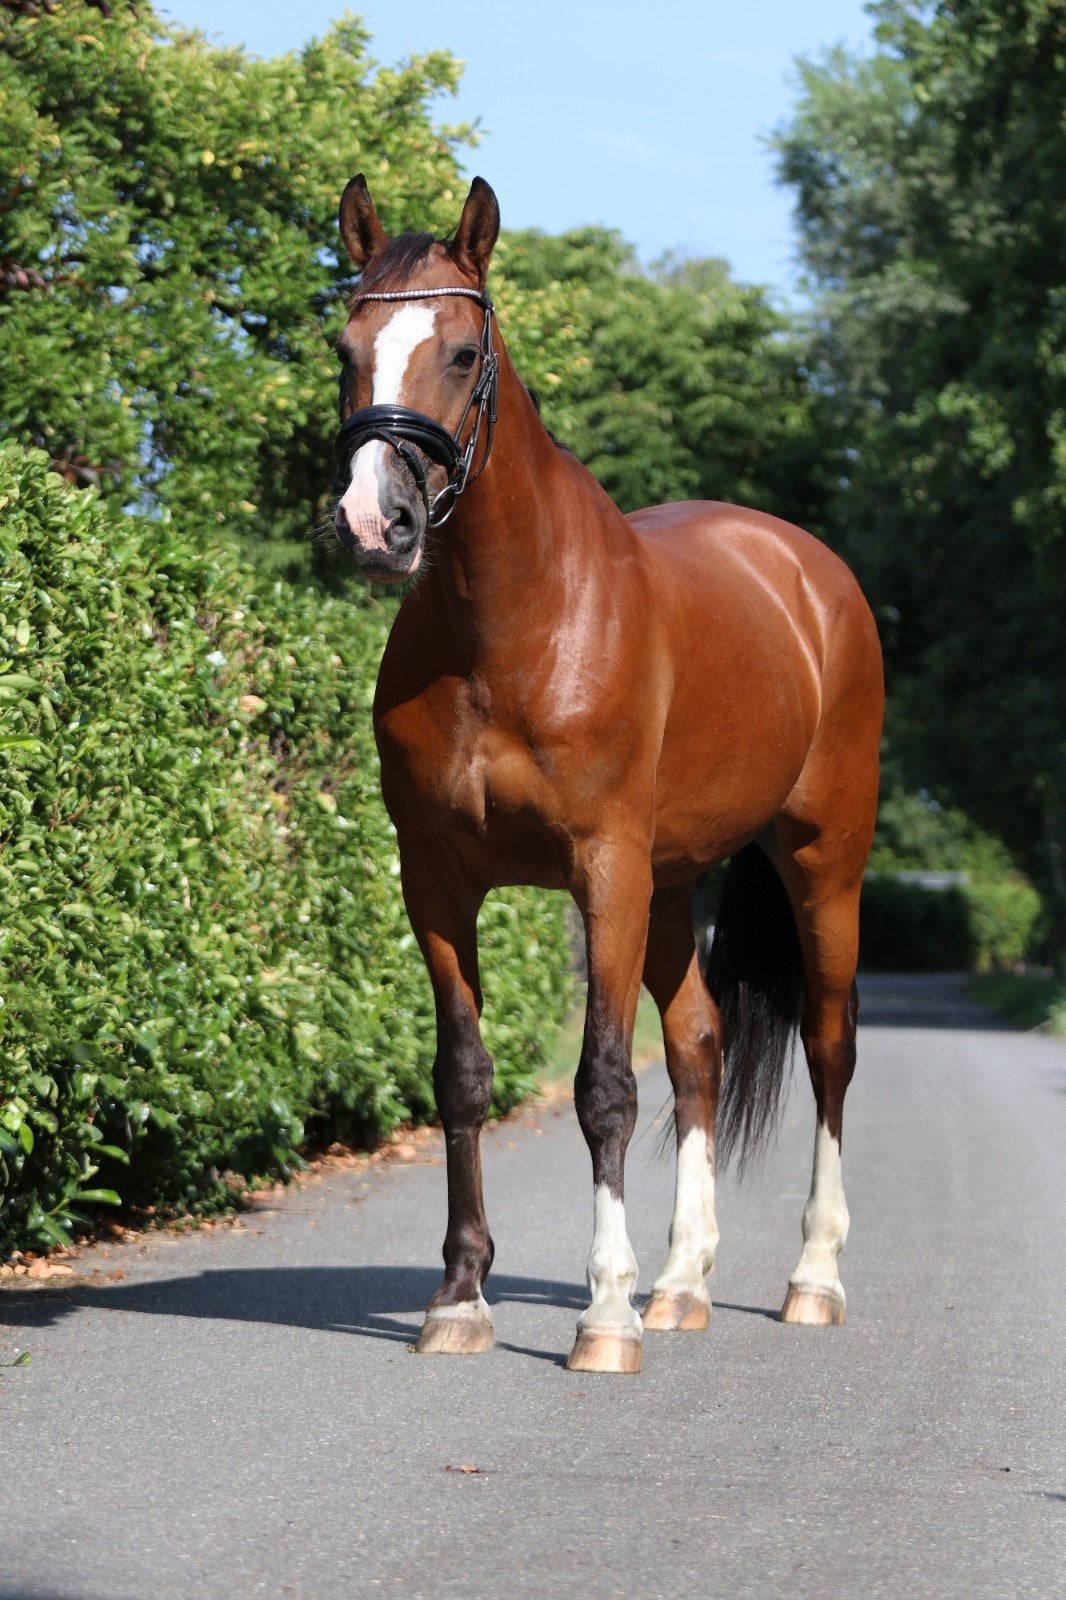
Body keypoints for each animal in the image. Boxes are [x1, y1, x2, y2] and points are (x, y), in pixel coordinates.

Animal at [331, 175, 884, 1374]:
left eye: (461, 352)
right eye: (344, 347)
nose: (372, 523)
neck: (510, 628)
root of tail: (809, 573)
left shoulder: (604, 871)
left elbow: (602, 1086)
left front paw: (604, 1314)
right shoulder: (435, 882)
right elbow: (464, 1075)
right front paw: (460, 1298)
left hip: (820, 863)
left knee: (827, 1045)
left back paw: (812, 1279)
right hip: (672, 886)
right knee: (701, 1047)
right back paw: (681, 1284)